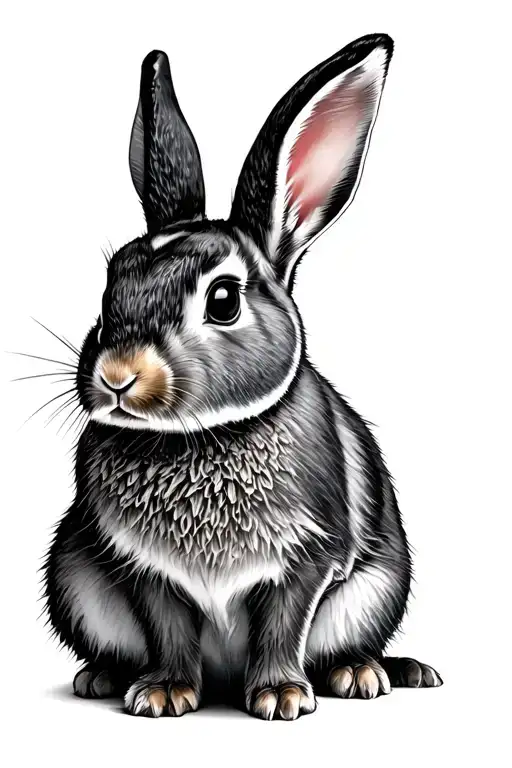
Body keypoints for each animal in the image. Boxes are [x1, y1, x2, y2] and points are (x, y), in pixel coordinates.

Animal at [44, 33, 442, 720]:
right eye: (111, 283)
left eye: (224, 300)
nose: (118, 376)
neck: (197, 437)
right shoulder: (142, 570)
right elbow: (168, 630)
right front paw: (162, 694)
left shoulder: (308, 560)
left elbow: (284, 624)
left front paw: (282, 697)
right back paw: (101, 676)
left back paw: (362, 673)